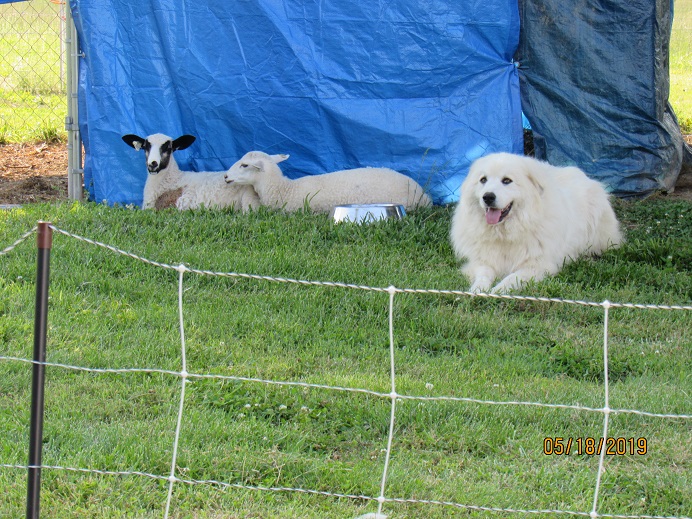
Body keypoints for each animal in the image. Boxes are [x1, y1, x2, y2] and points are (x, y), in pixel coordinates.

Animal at [448, 152, 620, 294]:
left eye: (507, 181)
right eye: (483, 180)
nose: (488, 197)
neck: (506, 234)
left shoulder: (538, 266)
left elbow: (512, 277)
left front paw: (498, 291)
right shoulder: (481, 262)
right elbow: (483, 276)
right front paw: (477, 290)